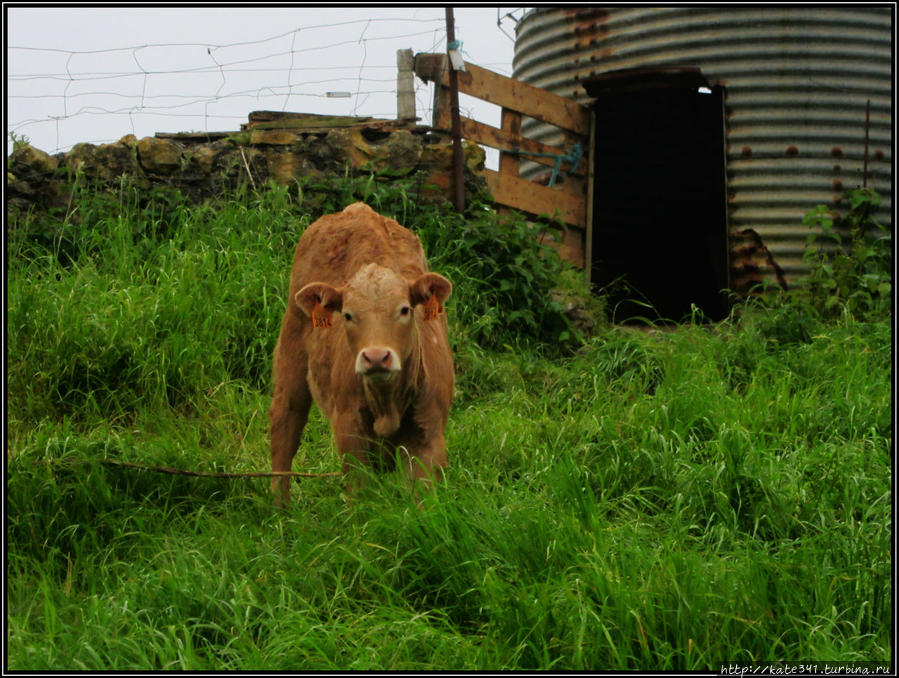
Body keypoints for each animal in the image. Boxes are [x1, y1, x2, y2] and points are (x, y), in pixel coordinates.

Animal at [266, 202, 450, 504]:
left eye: (404, 309)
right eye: (348, 315)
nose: (376, 357)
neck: (387, 404)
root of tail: (358, 209)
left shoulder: (429, 431)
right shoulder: (349, 427)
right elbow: (362, 492)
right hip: (290, 354)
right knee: (286, 425)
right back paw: (279, 507)